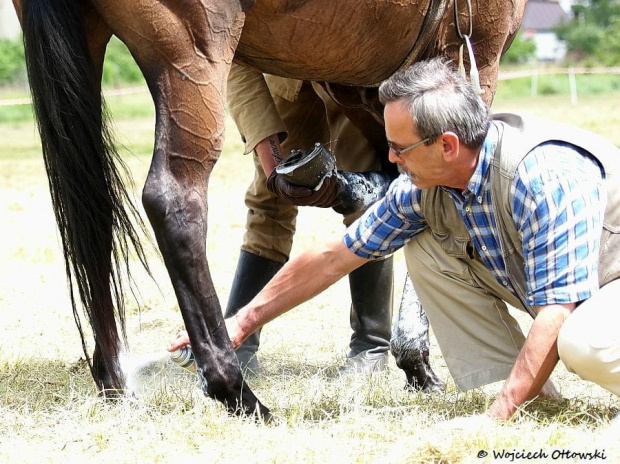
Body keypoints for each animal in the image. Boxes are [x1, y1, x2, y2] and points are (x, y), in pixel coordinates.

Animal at [12, 0, 524, 420]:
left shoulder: (361, 84)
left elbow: (395, 190)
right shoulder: (473, 54)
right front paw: (415, 358)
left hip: (90, 45)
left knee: (91, 208)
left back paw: (116, 383)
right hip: (192, 62)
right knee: (174, 200)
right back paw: (234, 389)